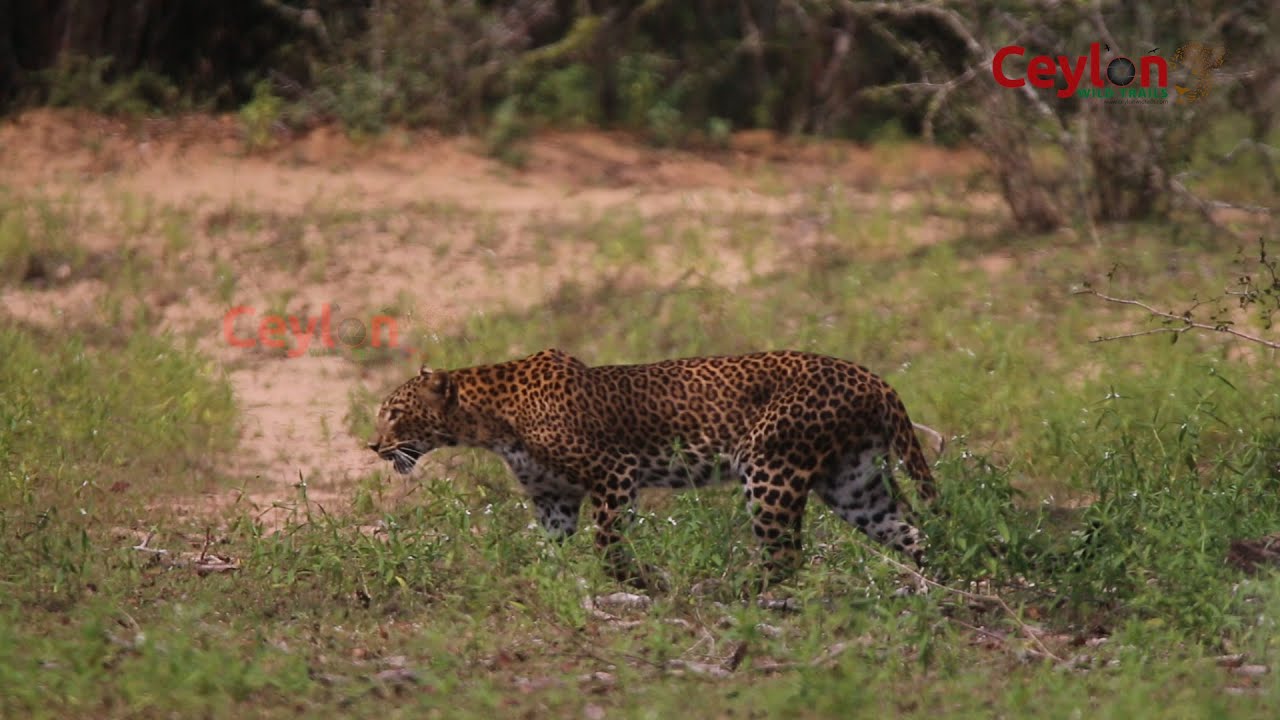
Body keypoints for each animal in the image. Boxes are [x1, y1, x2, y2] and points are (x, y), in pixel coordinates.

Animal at [368, 348, 939, 587]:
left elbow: (607, 546)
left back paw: (729, 593)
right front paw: (543, 584)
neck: (489, 422)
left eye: (394, 412)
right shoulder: (555, 501)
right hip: (852, 483)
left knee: (785, 555)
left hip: (771, 467)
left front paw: (647, 581)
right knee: (913, 531)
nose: (373, 446)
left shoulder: (615, 473)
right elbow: (551, 550)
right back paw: (944, 582)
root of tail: (872, 378)